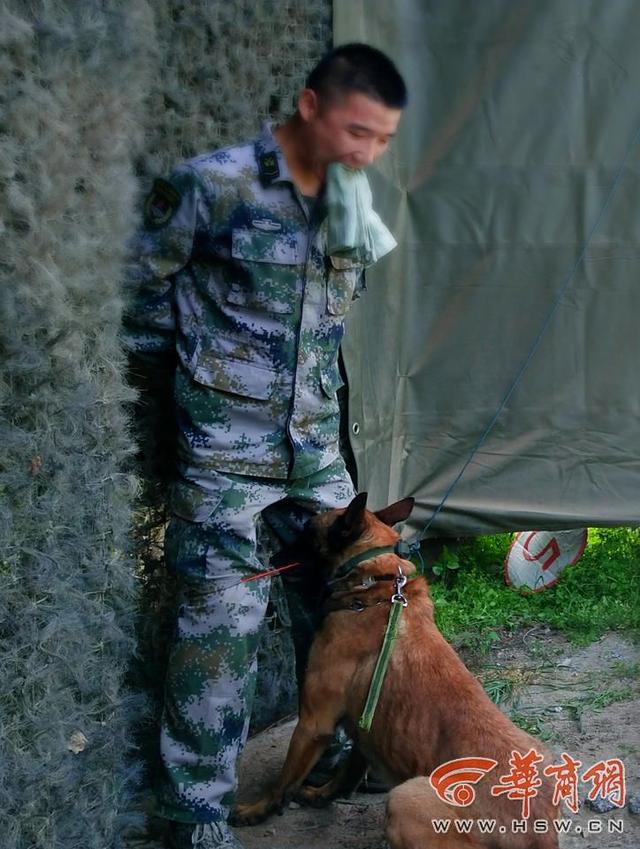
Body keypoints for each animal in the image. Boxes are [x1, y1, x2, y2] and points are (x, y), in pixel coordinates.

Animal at [235, 494, 560, 844]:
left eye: (308, 532)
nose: (271, 557)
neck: (373, 588)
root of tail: (538, 834)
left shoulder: (313, 722)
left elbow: (283, 780)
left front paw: (255, 810)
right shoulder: (363, 726)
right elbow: (348, 771)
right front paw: (322, 794)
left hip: (404, 798)